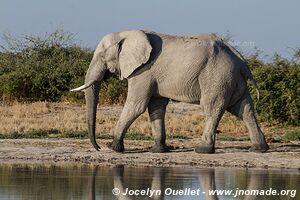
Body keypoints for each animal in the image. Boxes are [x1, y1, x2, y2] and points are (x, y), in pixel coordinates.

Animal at [71, 29, 270, 154]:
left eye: (102, 56)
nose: (98, 147)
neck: (127, 33)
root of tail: (241, 60)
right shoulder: (151, 75)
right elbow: (155, 107)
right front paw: (159, 150)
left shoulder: (144, 71)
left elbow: (136, 105)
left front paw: (113, 148)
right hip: (232, 79)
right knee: (244, 109)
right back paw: (259, 148)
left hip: (217, 76)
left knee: (212, 109)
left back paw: (202, 150)